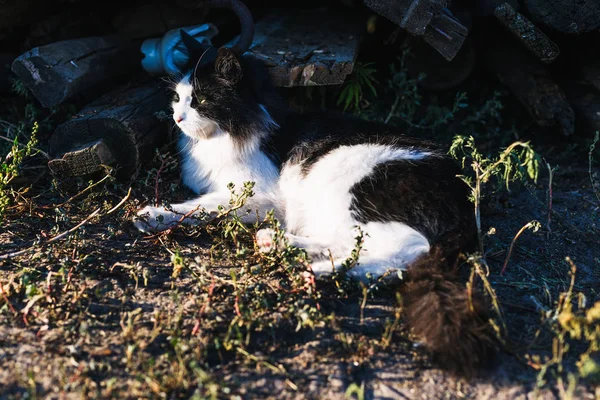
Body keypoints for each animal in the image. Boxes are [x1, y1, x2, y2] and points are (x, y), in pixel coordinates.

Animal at [134, 48, 494, 376]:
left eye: (201, 100)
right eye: (178, 99)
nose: (177, 118)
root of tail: (465, 198)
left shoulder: (259, 196)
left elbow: (198, 208)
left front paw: (151, 214)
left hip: (348, 180)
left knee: (404, 253)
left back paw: (314, 271)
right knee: (351, 247)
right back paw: (285, 250)